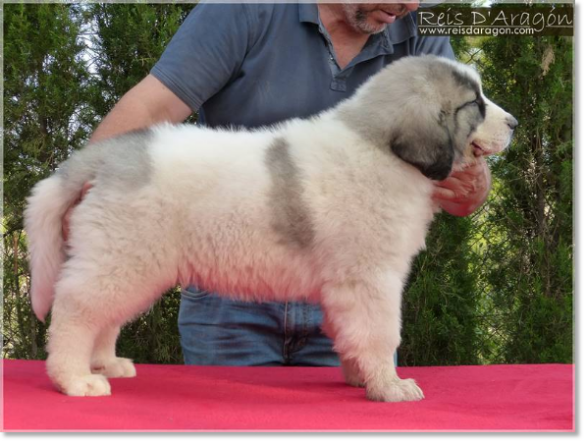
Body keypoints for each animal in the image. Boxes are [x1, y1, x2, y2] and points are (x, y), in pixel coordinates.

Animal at [25, 55, 512, 402]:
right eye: (475, 104)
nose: (514, 123)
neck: (379, 147)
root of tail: (106, 156)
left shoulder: (348, 286)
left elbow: (352, 333)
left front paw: (361, 378)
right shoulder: (370, 277)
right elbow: (379, 332)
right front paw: (390, 387)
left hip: (128, 260)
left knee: (105, 316)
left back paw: (105, 364)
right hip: (123, 255)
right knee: (76, 310)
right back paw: (75, 379)